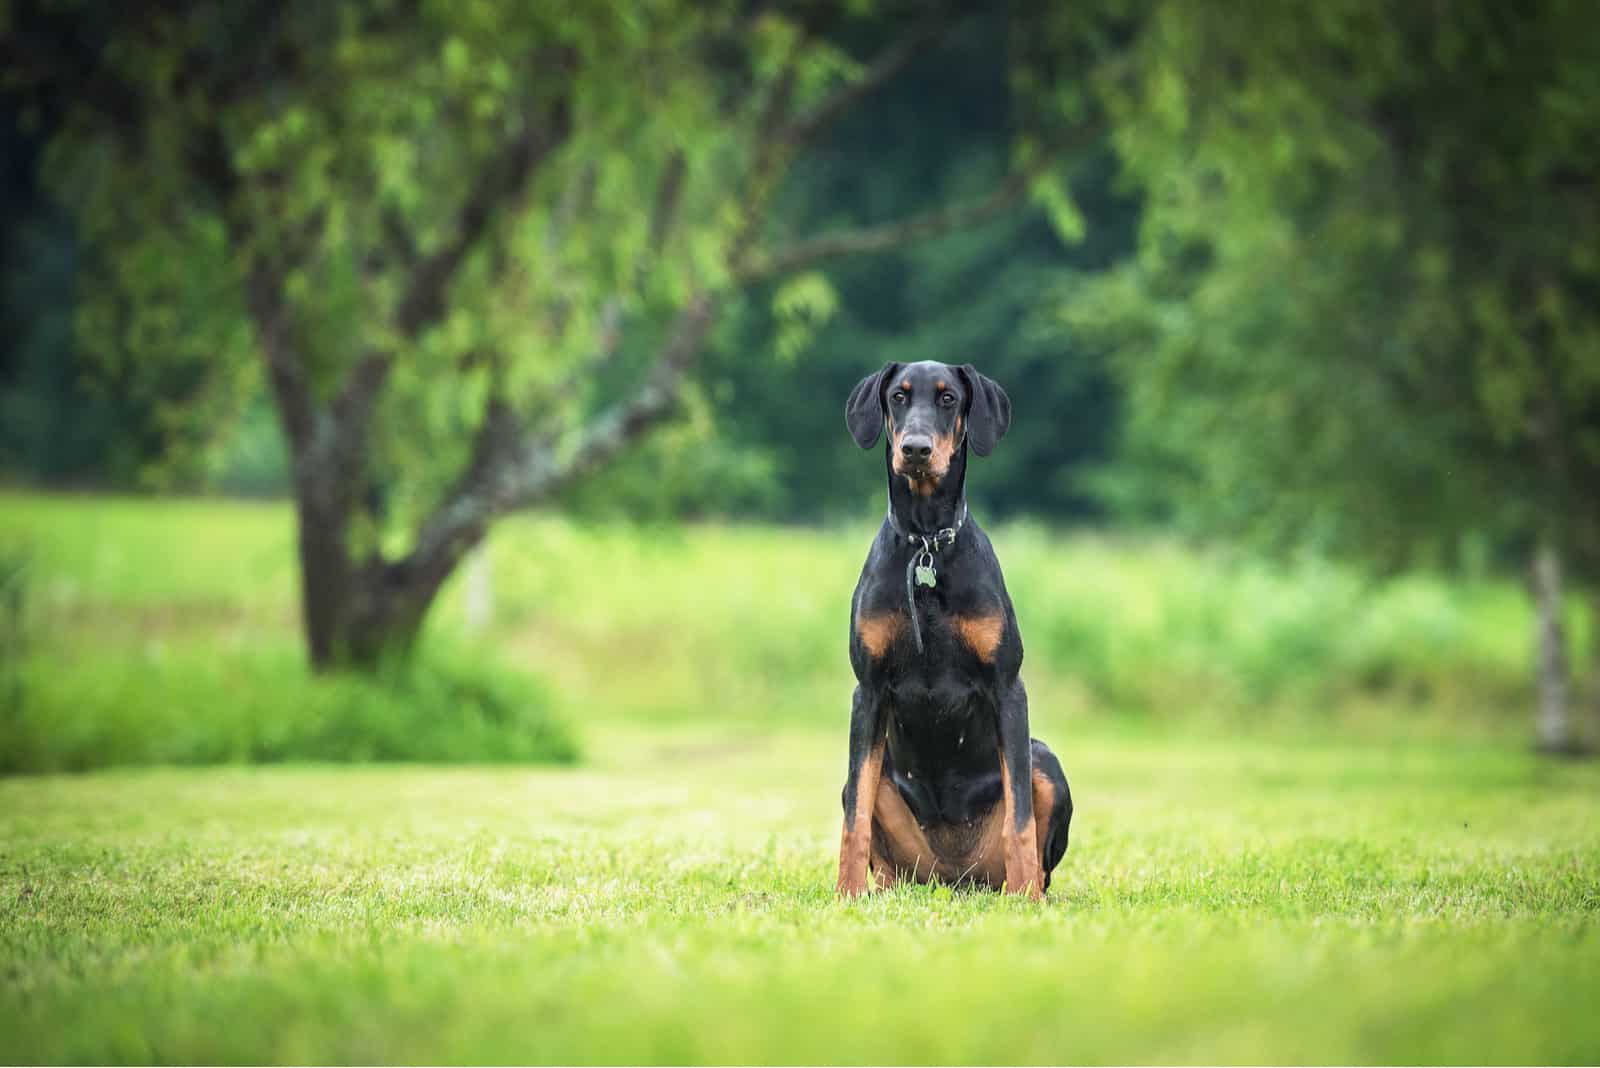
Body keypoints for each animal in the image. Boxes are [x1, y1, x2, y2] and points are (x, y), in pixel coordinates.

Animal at [838, 362, 1075, 895]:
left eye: (949, 399)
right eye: (898, 396)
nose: (916, 449)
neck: (927, 543)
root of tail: (954, 877)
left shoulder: (1008, 686)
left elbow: (1021, 819)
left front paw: (1025, 898)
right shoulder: (868, 690)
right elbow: (855, 814)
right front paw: (845, 894)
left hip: (1045, 759)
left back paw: (1028, 889)